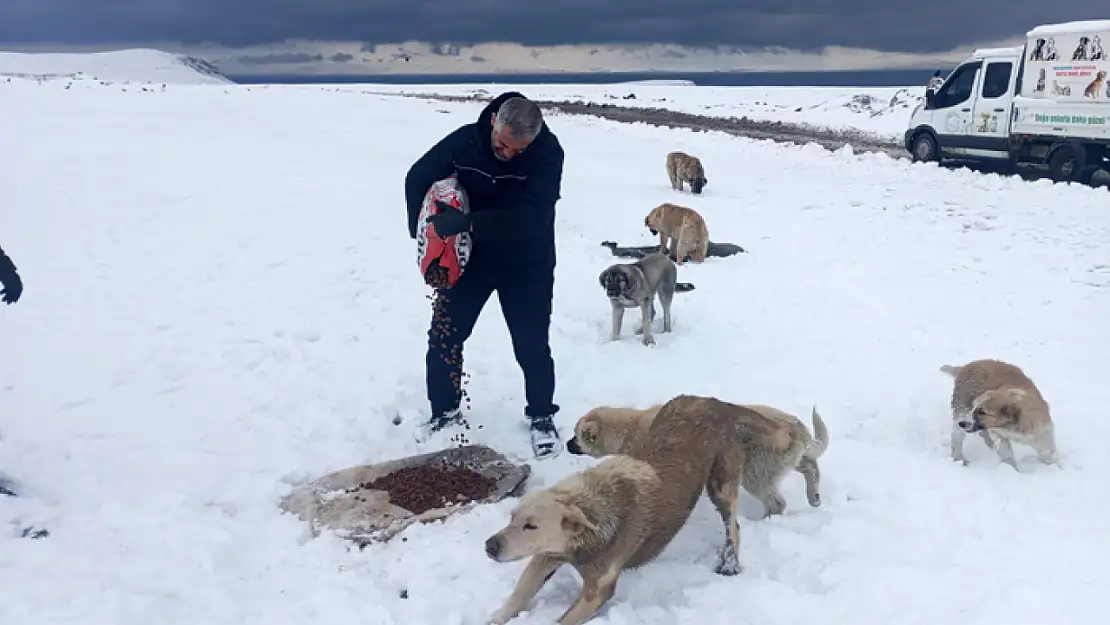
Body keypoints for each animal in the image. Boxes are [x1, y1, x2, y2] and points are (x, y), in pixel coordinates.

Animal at [486, 395, 745, 625]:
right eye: (512, 517)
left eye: (532, 526)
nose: (490, 546)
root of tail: (710, 400)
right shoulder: (546, 555)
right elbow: (519, 593)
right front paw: (496, 618)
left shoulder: (598, 589)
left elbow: (564, 619)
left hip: (721, 483)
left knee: (733, 524)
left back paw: (729, 563)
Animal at [568, 401, 830, 519]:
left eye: (576, 435)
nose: (567, 444)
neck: (632, 427)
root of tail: (794, 428)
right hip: (780, 463)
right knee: (810, 467)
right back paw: (814, 496)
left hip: (756, 473)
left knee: (777, 502)